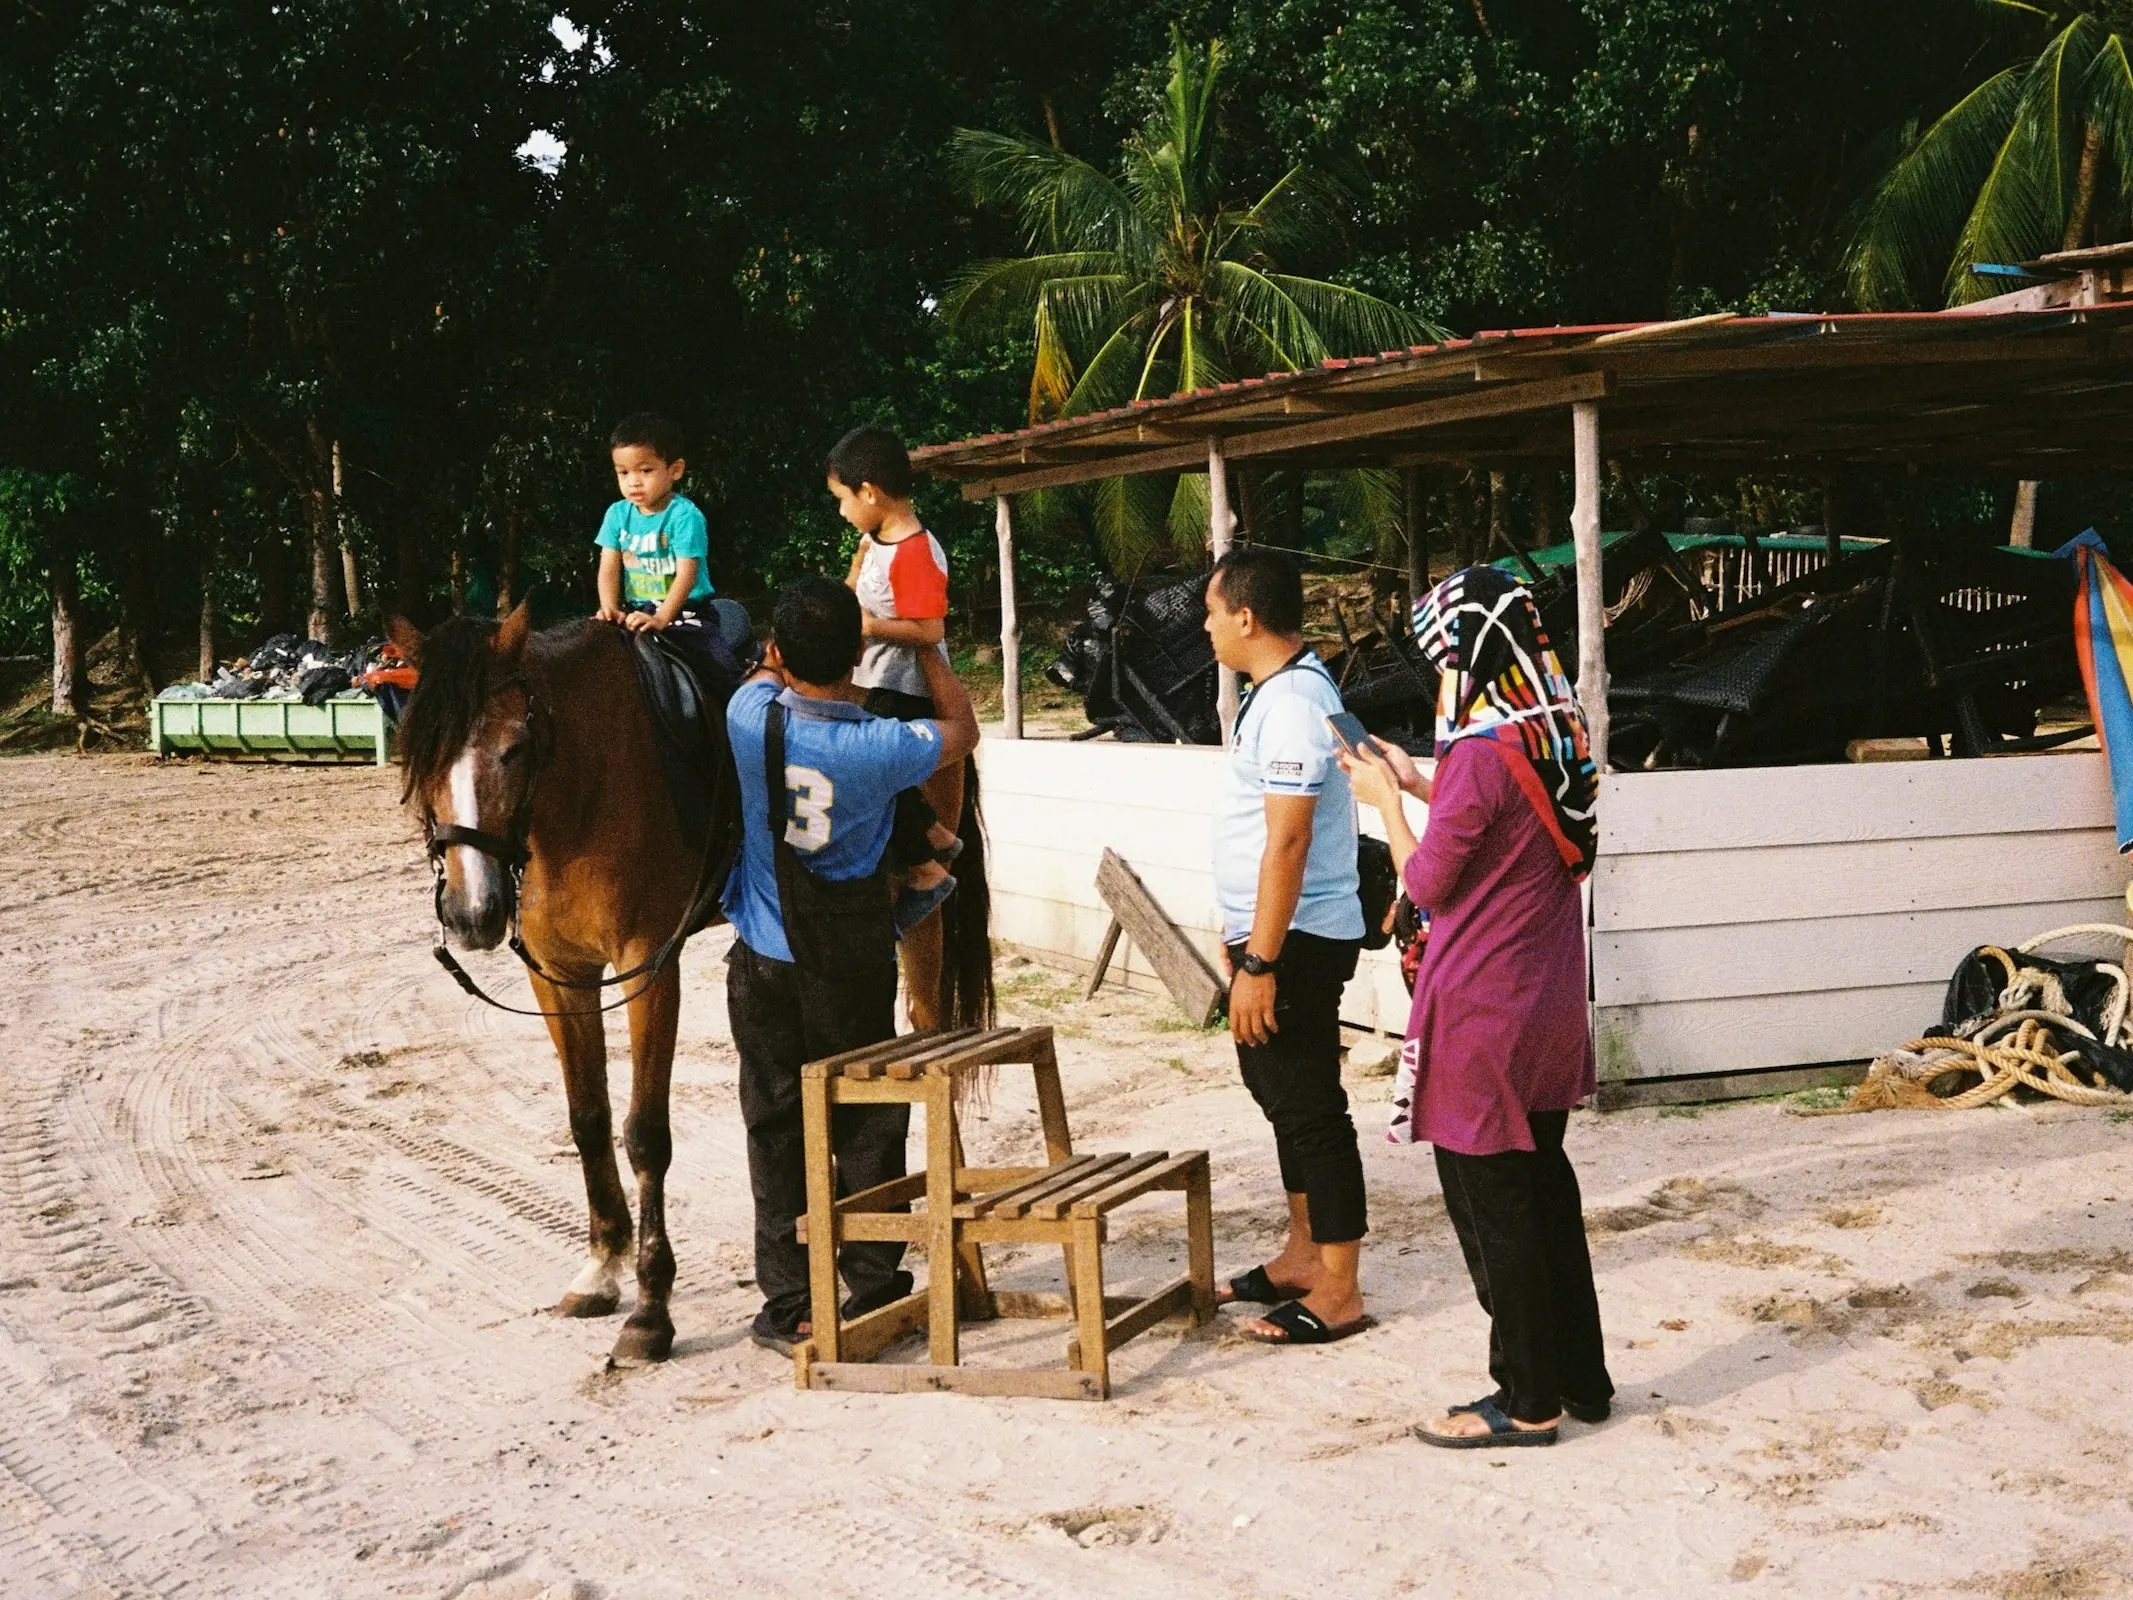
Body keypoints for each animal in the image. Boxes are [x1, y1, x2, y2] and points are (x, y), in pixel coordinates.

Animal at [392, 601, 989, 1365]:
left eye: (515, 748)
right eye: (419, 754)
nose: (472, 914)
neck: (581, 793)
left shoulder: (648, 966)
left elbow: (645, 1132)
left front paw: (651, 1311)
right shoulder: (558, 976)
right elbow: (587, 1119)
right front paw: (601, 1266)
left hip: (923, 922)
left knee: (930, 1038)